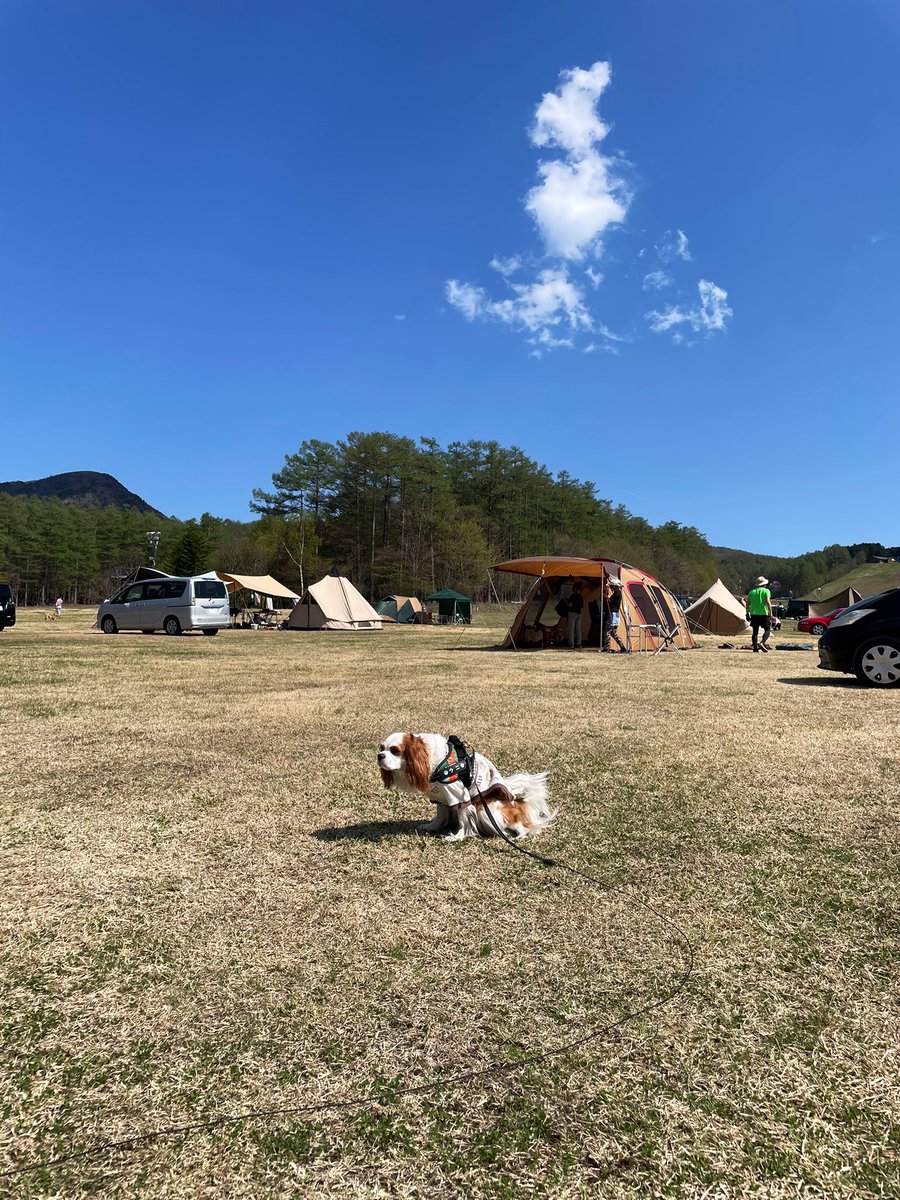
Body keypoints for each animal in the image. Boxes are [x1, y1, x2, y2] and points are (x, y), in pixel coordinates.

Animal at [374, 724, 556, 840]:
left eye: (395, 751)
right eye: (381, 748)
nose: (379, 756)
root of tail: (517, 803)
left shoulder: (458, 794)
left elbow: (464, 819)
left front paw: (458, 836)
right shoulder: (439, 795)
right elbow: (440, 815)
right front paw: (432, 827)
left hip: (488, 810)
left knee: (522, 826)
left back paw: (520, 835)